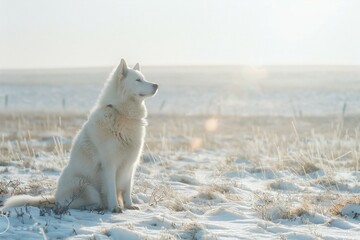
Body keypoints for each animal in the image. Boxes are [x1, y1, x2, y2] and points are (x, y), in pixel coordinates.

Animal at [2, 59, 158, 213]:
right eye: (138, 80)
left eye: (143, 78)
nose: (156, 85)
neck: (121, 113)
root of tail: (55, 198)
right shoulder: (109, 165)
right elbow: (112, 189)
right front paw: (115, 207)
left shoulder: (130, 165)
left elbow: (127, 189)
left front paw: (129, 205)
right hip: (87, 187)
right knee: (78, 204)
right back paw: (96, 206)